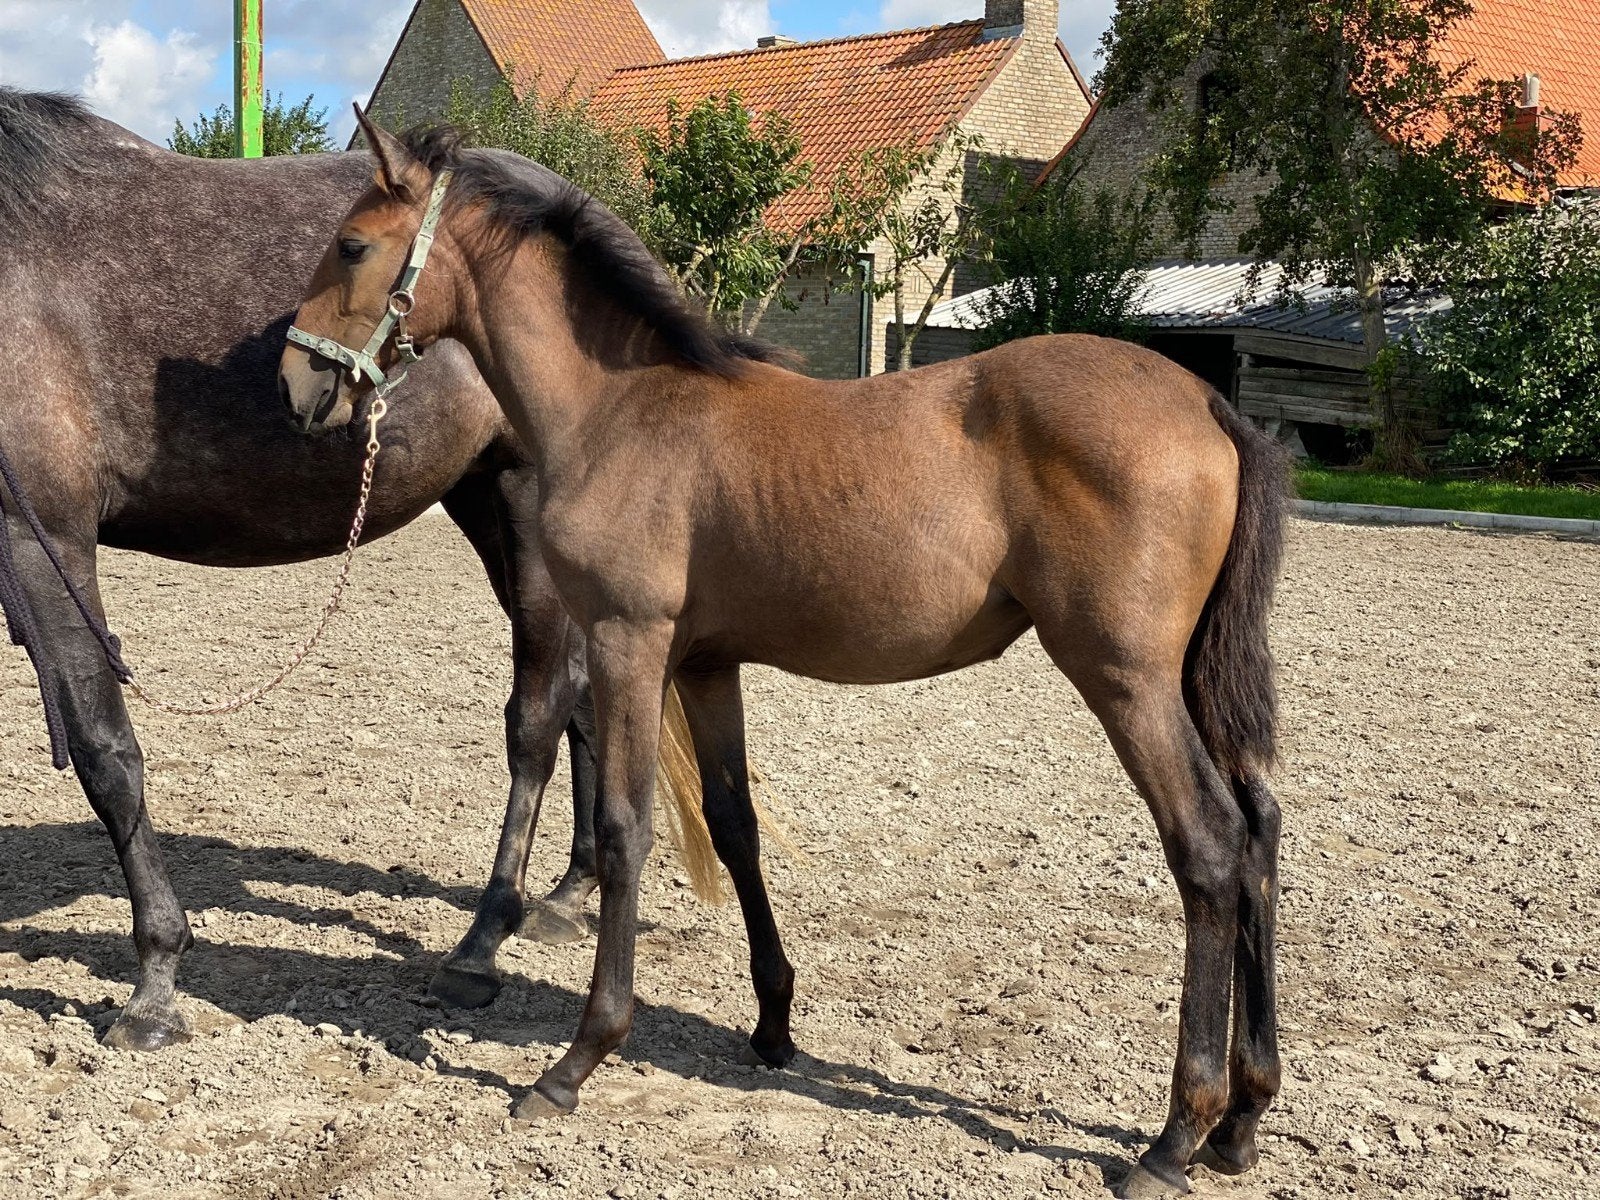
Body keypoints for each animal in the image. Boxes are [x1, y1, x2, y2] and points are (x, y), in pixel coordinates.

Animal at [0, 89, 716, 1052]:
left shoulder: (44, 533)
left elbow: (106, 752)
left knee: (538, 713)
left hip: (524, 507)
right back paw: (570, 895)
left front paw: (154, 983)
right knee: (585, 703)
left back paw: (481, 946)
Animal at [279, 114, 1291, 1199]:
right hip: (1190, 676)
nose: (296, 385)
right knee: (1260, 830)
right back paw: (1241, 1119)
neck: (619, 410)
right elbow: (735, 827)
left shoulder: (629, 641)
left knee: (1208, 845)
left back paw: (1174, 1137)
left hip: (1125, 678)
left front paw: (577, 1060)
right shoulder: (705, 664)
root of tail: (1209, 405)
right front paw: (772, 1023)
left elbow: (628, 829)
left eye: (351, 245)